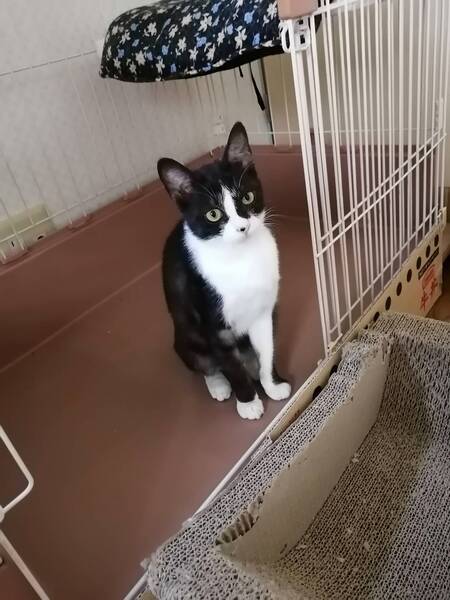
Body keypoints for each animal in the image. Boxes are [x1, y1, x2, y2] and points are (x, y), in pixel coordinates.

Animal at [158, 122, 291, 420]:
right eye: (213, 214)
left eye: (248, 196)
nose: (244, 227)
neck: (241, 258)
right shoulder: (215, 326)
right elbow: (231, 367)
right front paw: (249, 403)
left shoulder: (263, 313)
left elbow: (267, 351)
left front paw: (272, 385)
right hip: (186, 334)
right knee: (205, 363)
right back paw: (218, 384)